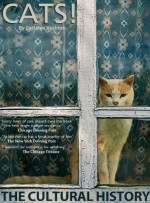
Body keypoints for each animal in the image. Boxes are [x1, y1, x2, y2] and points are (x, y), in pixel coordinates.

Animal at [3, 75, 134, 186]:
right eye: (108, 95)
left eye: (122, 95)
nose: (115, 103)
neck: (115, 122)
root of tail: (70, 177)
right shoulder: (100, 147)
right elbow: (104, 170)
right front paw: (105, 183)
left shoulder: (116, 149)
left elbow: (112, 169)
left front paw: (111, 184)